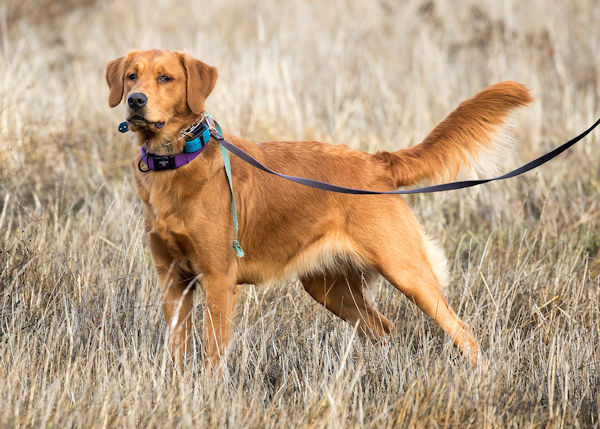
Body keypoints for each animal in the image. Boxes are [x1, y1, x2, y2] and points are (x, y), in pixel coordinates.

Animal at [105, 47, 532, 368]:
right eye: (132, 77)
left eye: (166, 78)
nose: (136, 101)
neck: (178, 162)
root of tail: (377, 162)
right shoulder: (172, 280)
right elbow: (177, 350)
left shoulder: (218, 279)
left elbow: (212, 355)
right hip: (329, 287)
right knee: (383, 328)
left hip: (408, 272)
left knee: (463, 332)